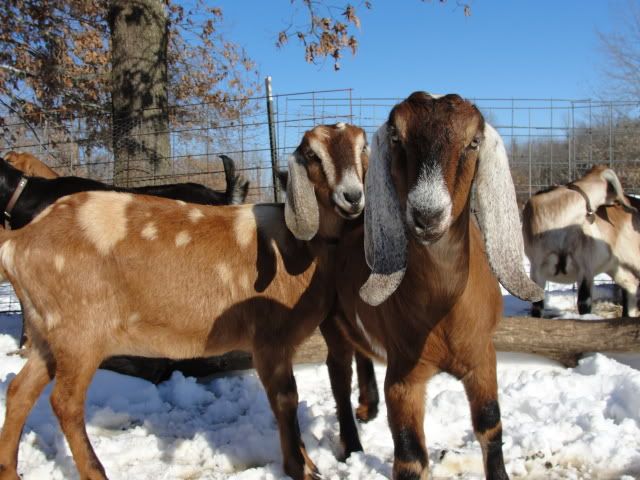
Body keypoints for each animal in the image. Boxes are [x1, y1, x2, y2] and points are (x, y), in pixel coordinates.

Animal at [0, 122, 368, 480]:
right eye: (312, 154)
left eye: (363, 146)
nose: (352, 197)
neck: (296, 246)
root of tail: (17, 243)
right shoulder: (269, 339)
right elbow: (286, 399)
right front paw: (302, 468)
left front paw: (306, 462)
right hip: (81, 334)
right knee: (65, 403)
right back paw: (95, 472)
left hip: (48, 334)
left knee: (19, 391)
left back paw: (10, 471)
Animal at [321, 92, 543, 479]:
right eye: (396, 136)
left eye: (473, 141)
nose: (427, 215)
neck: (442, 313)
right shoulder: (404, 374)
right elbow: (410, 455)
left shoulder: (482, 357)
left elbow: (490, 426)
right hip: (332, 323)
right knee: (338, 375)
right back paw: (352, 445)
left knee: (362, 355)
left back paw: (368, 409)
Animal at [523, 167, 638, 317]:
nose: (625, 204)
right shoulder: (537, 270)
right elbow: (536, 306)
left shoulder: (585, 269)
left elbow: (584, 304)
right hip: (615, 266)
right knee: (631, 285)